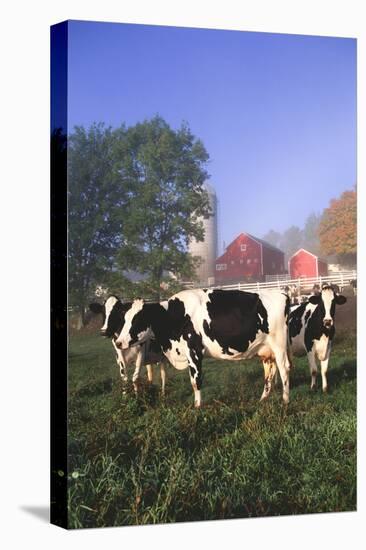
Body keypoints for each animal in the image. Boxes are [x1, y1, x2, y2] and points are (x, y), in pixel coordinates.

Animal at [114, 292, 292, 408]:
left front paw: (197, 406)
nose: (118, 342)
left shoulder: (194, 351)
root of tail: (281, 294)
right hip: (266, 350)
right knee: (269, 372)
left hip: (279, 346)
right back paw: (263, 399)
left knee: (284, 369)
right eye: (124, 319)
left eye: (137, 320)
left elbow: (196, 381)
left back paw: (285, 400)